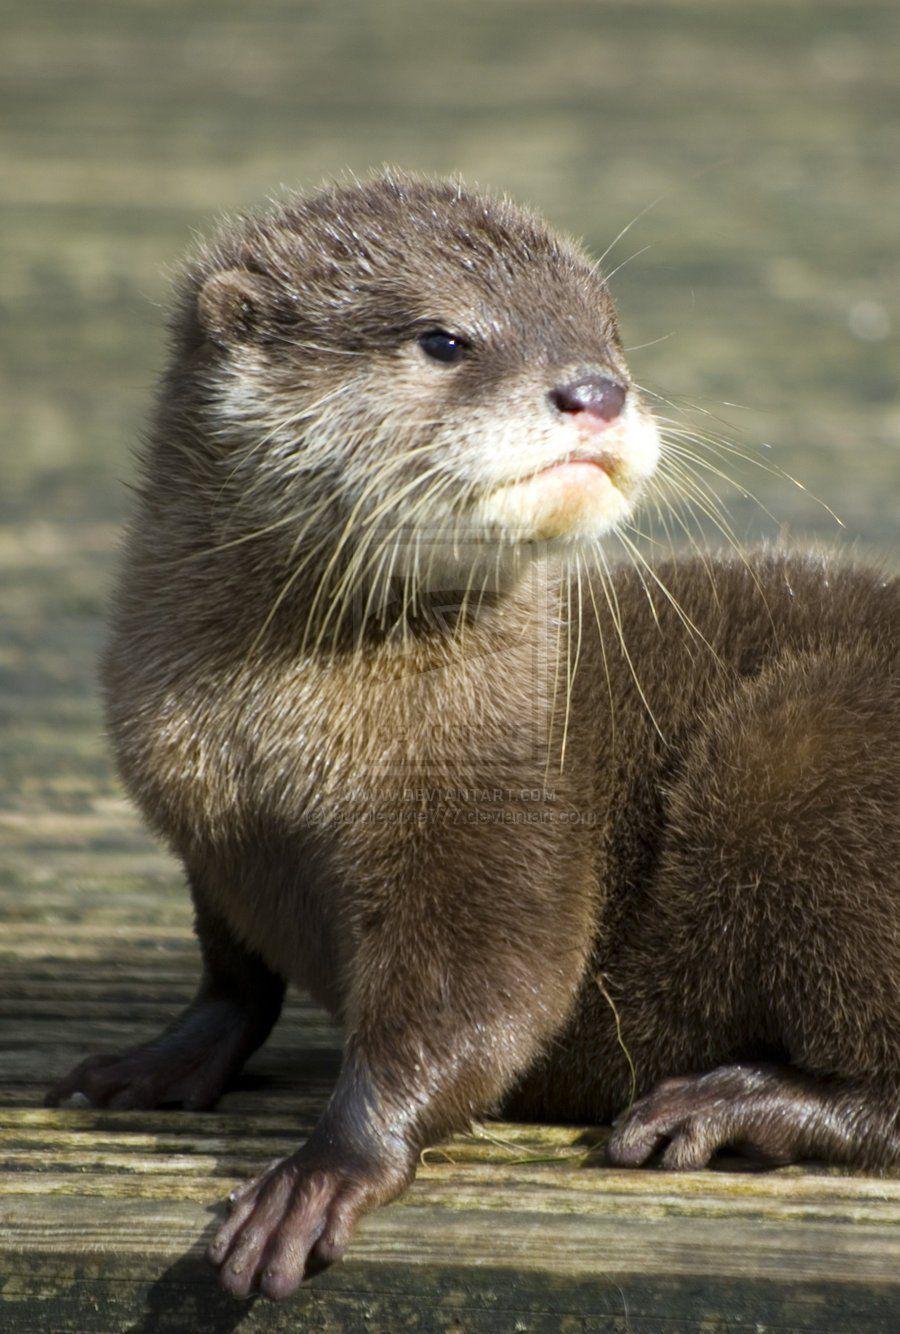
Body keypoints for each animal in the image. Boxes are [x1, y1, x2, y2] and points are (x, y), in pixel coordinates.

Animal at [47, 171, 899, 1301]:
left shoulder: (505, 813)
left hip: (798, 750)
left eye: (609, 332)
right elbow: (233, 974)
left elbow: (484, 1004)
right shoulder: (203, 832)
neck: (271, 750)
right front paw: (154, 1060)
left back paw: (726, 1103)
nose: (596, 389)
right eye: (444, 339)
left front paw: (323, 1171)